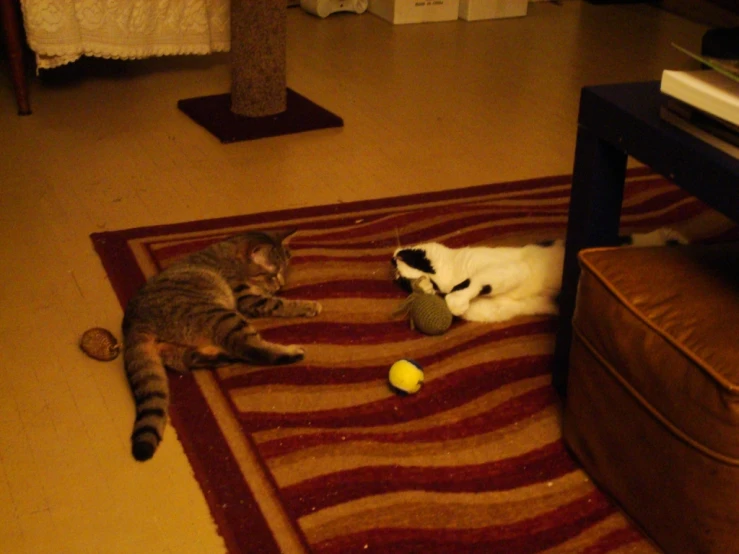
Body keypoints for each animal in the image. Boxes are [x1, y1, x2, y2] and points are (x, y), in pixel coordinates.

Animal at [122, 226, 320, 460]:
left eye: (284, 270)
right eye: (271, 274)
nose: (280, 284)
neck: (230, 253)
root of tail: (134, 321)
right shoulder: (248, 299)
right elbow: (279, 304)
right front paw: (308, 305)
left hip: (177, 342)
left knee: (184, 359)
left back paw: (220, 357)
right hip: (222, 315)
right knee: (249, 347)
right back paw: (290, 353)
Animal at [394, 227, 688, 324]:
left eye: (404, 257)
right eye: (402, 284)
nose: (391, 258)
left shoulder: (503, 270)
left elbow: (468, 285)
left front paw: (454, 299)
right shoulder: (498, 307)